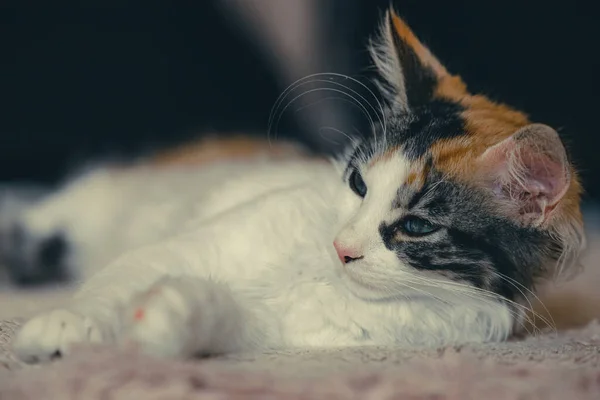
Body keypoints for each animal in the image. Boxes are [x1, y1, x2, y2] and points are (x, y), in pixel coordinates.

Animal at [7, 7, 584, 362]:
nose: (341, 247)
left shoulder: (283, 326)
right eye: (358, 183)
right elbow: (118, 279)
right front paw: (66, 325)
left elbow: (221, 316)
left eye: (417, 227)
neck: (317, 274)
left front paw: (163, 318)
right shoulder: (193, 243)